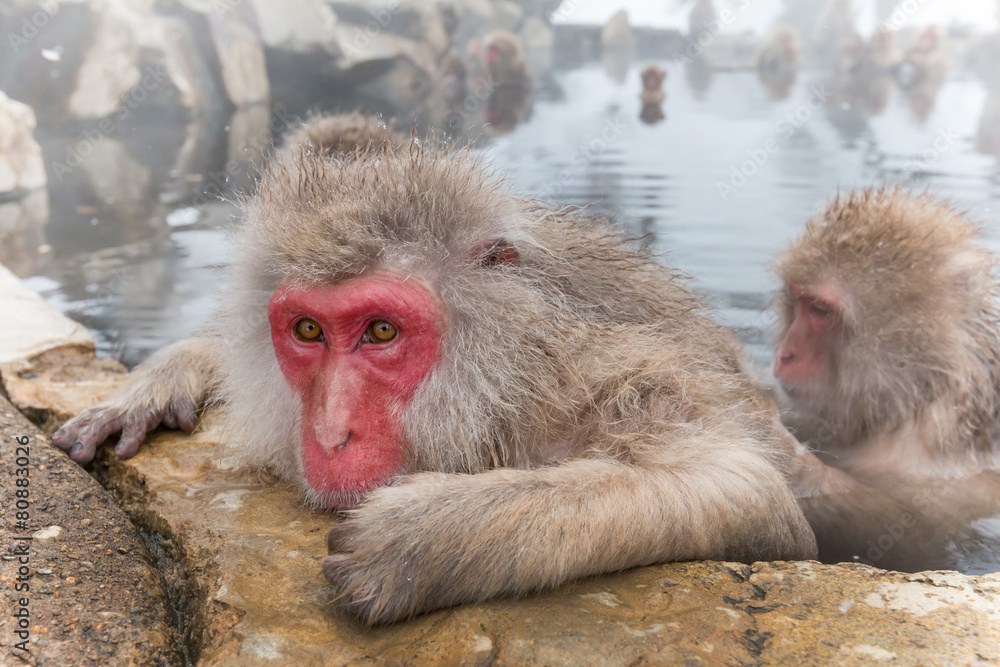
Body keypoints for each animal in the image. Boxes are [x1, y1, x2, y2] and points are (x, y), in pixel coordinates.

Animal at [52, 114, 817, 625]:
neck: (503, 376)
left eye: (382, 331)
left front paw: (422, 535)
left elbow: (745, 485)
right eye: (308, 330)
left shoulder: (597, 378)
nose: (330, 433)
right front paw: (157, 382)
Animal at [773, 188, 1000, 572]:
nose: (784, 354)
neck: (918, 393)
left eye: (819, 310)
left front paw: (788, 459)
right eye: (798, 301)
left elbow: (908, 531)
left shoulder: (927, 452)